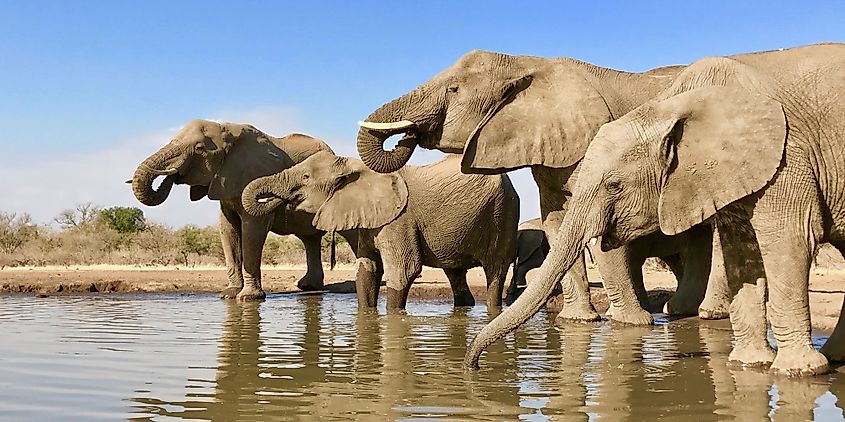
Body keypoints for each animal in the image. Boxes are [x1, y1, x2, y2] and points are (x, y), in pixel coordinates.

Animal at [129, 119, 358, 300]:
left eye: (199, 148)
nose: (172, 174)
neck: (227, 131)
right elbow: (227, 229)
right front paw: (229, 295)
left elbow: (252, 229)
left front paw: (248, 298)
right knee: (310, 239)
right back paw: (308, 286)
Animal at [241, 151, 520, 311]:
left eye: (306, 177)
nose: (280, 200)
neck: (360, 168)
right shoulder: (371, 220)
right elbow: (367, 270)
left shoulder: (400, 219)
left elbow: (403, 271)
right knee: (456, 274)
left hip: (504, 214)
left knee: (495, 273)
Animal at [354, 49, 731, 325]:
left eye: (454, 89)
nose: (408, 134)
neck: (527, 64)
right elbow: (557, 222)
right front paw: (577, 321)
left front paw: (629, 325)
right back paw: (682, 311)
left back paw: (707, 314)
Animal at [463, 43, 845, 377]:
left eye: (614, 186)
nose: (474, 365)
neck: (674, 108)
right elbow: (742, 251)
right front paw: (748, 366)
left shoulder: (787, 153)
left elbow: (788, 239)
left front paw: (796, 371)